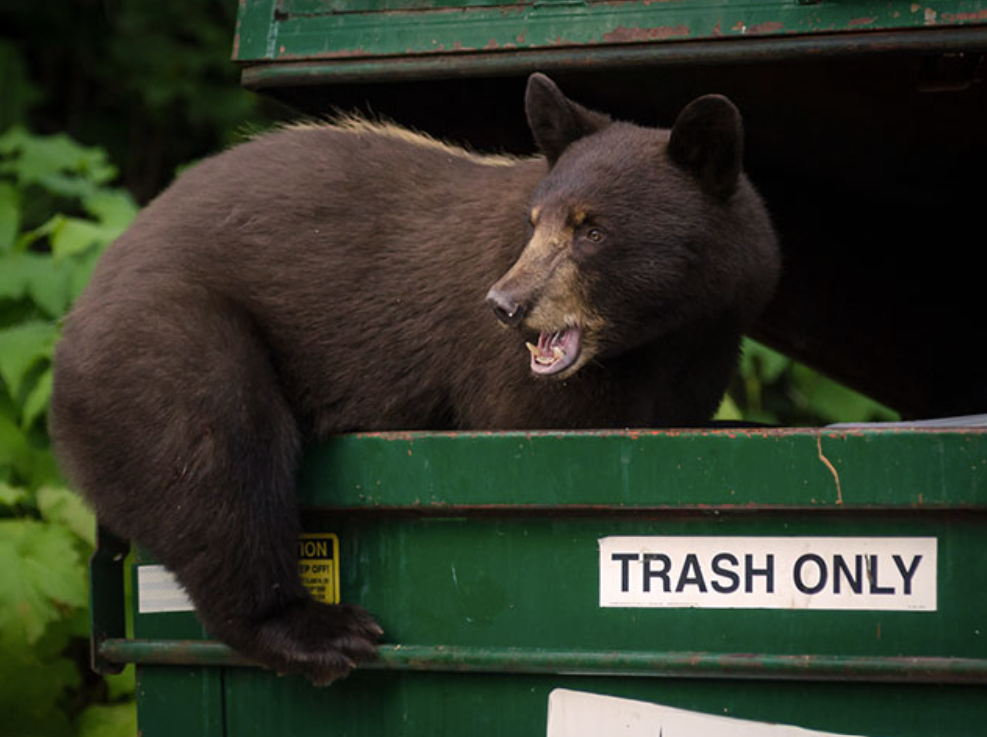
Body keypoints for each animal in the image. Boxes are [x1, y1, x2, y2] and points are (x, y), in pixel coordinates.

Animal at [52, 73, 780, 684]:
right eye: (534, 222)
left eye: (591, 229)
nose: (505, 304)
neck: (660, 339)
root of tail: (82, 305)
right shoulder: (517, 380)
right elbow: (540, 426)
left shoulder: (705, 350)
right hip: (166, 336)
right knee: (215, 455)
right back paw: (315, 630)